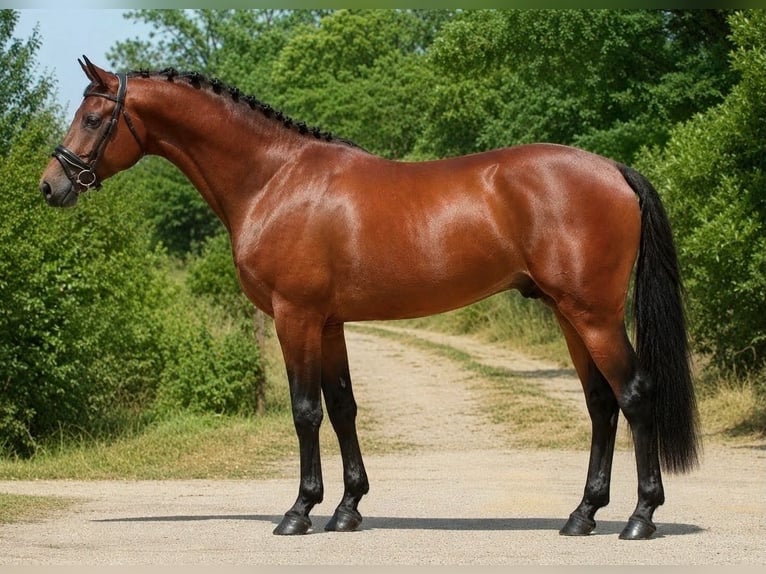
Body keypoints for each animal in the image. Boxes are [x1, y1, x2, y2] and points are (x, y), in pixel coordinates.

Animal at [39, 57, 701, 540]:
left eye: (93, 119)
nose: (51, 185)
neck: (274, 179)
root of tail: (614, 170)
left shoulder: (295, 317)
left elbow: (305, 411)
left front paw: (299, 512)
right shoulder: (329, 323)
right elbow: (343, 408)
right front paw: (347, 508)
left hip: (594, 316)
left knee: (634, 395)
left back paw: (640, 518)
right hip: (571, 315)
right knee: (601, 404)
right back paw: (583, 514)